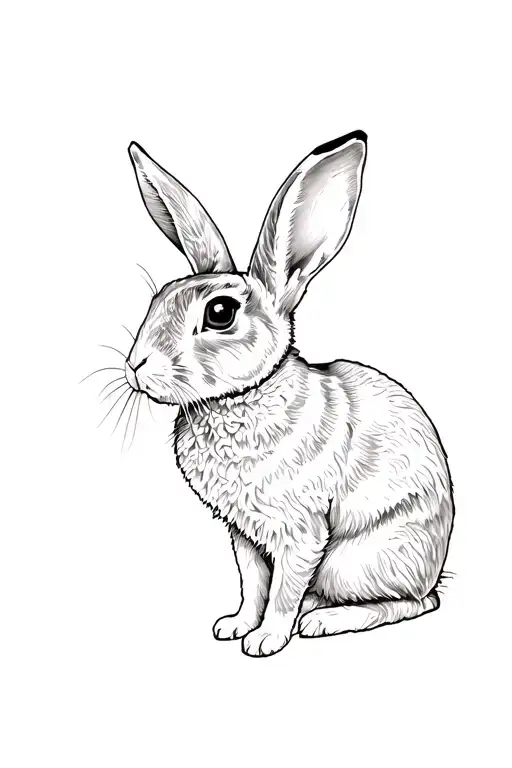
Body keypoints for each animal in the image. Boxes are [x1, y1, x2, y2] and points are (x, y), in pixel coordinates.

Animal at [125, 130, 454, 657]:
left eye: (220, 313)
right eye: (158, 298)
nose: (136, 365)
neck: (240, 399)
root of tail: (435, 563)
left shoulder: (301, 532)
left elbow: (282, 589)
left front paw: (266, 641)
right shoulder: (243, 532)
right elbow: (254, 582)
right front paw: (235, 626)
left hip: (355, 560)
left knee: (415, 603)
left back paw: (322, 620)